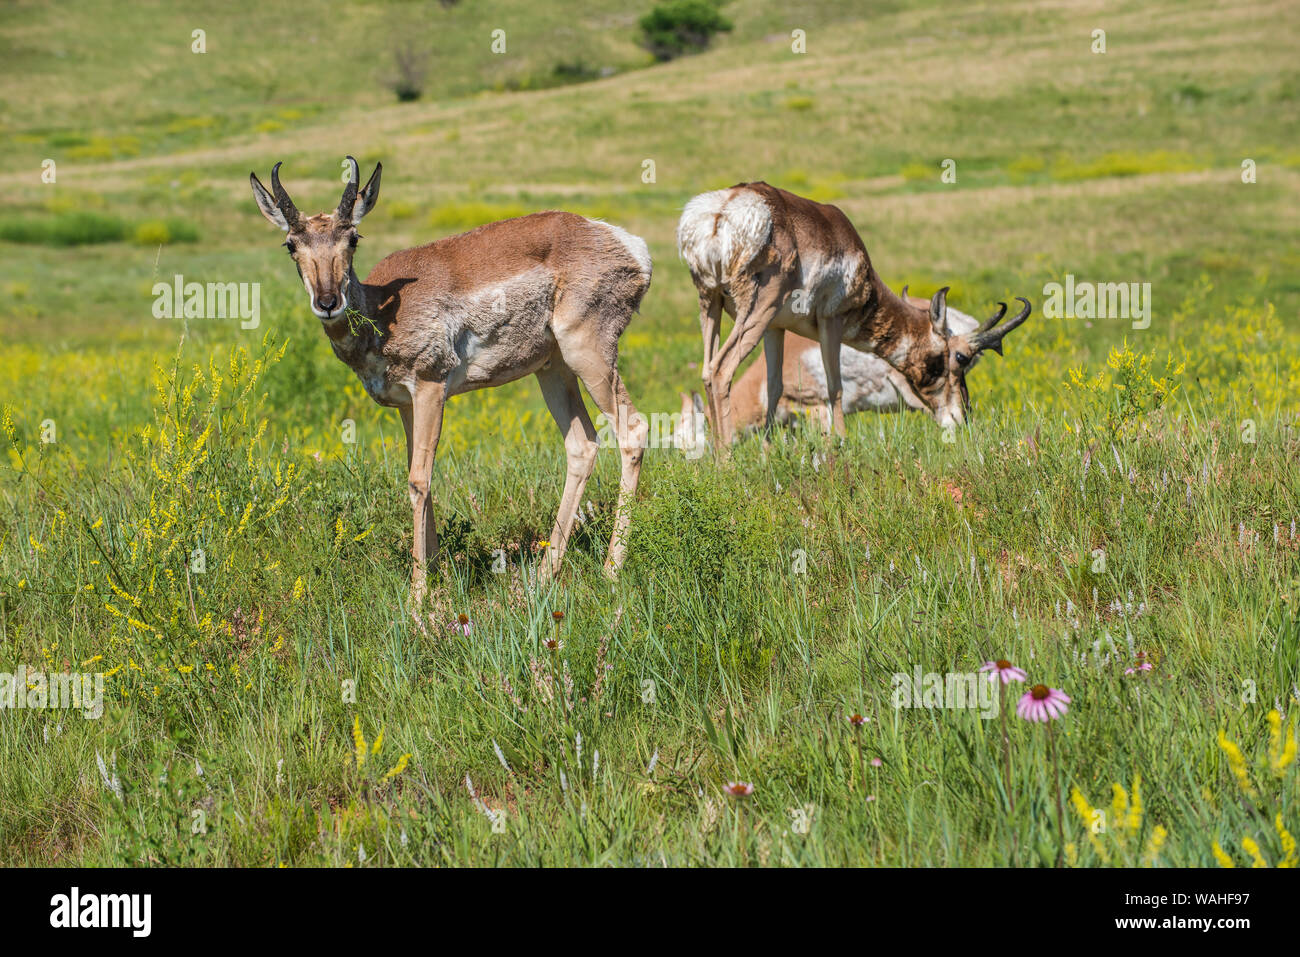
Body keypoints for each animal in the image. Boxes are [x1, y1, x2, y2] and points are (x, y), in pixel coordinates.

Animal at [250, 157, 652, 602]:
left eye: (352, 237)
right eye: (291, 244)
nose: (327, 302)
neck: (382, 310)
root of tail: (623, 241)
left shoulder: (431, 388)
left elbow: (419, 480)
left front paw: (418, 598)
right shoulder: (406, 405)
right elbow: (419, 477)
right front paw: (436, 578)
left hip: (589, 355)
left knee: (633, 430)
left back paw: (611, 569)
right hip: (553, 370)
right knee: (582, 445)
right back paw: (543, 576)